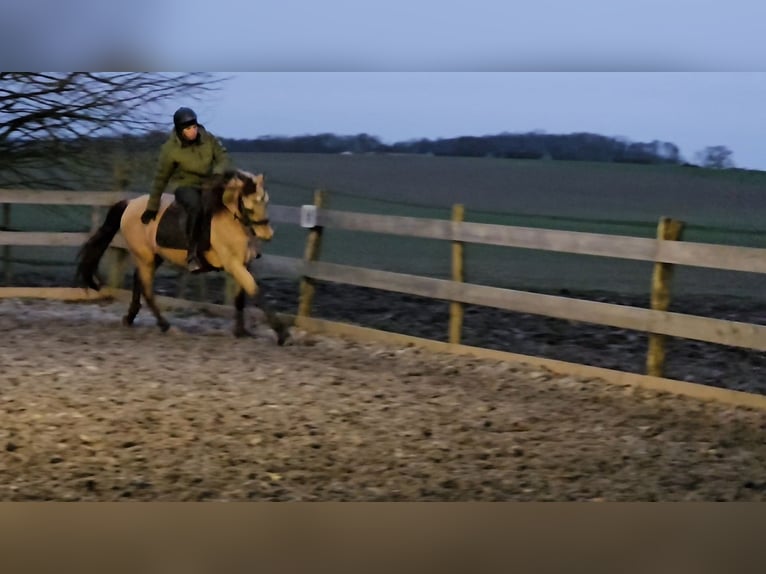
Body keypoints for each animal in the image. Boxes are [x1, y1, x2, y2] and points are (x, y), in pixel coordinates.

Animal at [76, 169, 290, 344]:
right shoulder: (234, 265)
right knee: (147, 289)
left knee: (138, 281)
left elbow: (241, 298)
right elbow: (256, 291)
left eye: (266, 201)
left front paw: (241, 332)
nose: (267, 234)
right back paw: (166, 326)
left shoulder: (243, 264)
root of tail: (130, 203)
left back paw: (130, 318)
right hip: (145, 256)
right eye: (249, 205)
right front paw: (282, 334)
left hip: (154, 256)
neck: (230, 219)